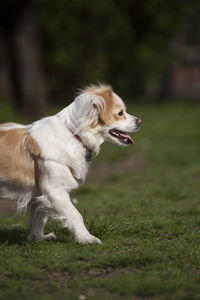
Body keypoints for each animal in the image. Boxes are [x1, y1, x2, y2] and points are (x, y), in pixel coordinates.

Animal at [0, 84, 141, 244]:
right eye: (120, 113)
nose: (140, 121)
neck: (73, 134)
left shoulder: (40, 192)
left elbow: (39, 217)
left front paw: (38, 238)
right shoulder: (55, 190)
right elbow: (75, 215)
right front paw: (86, 238)